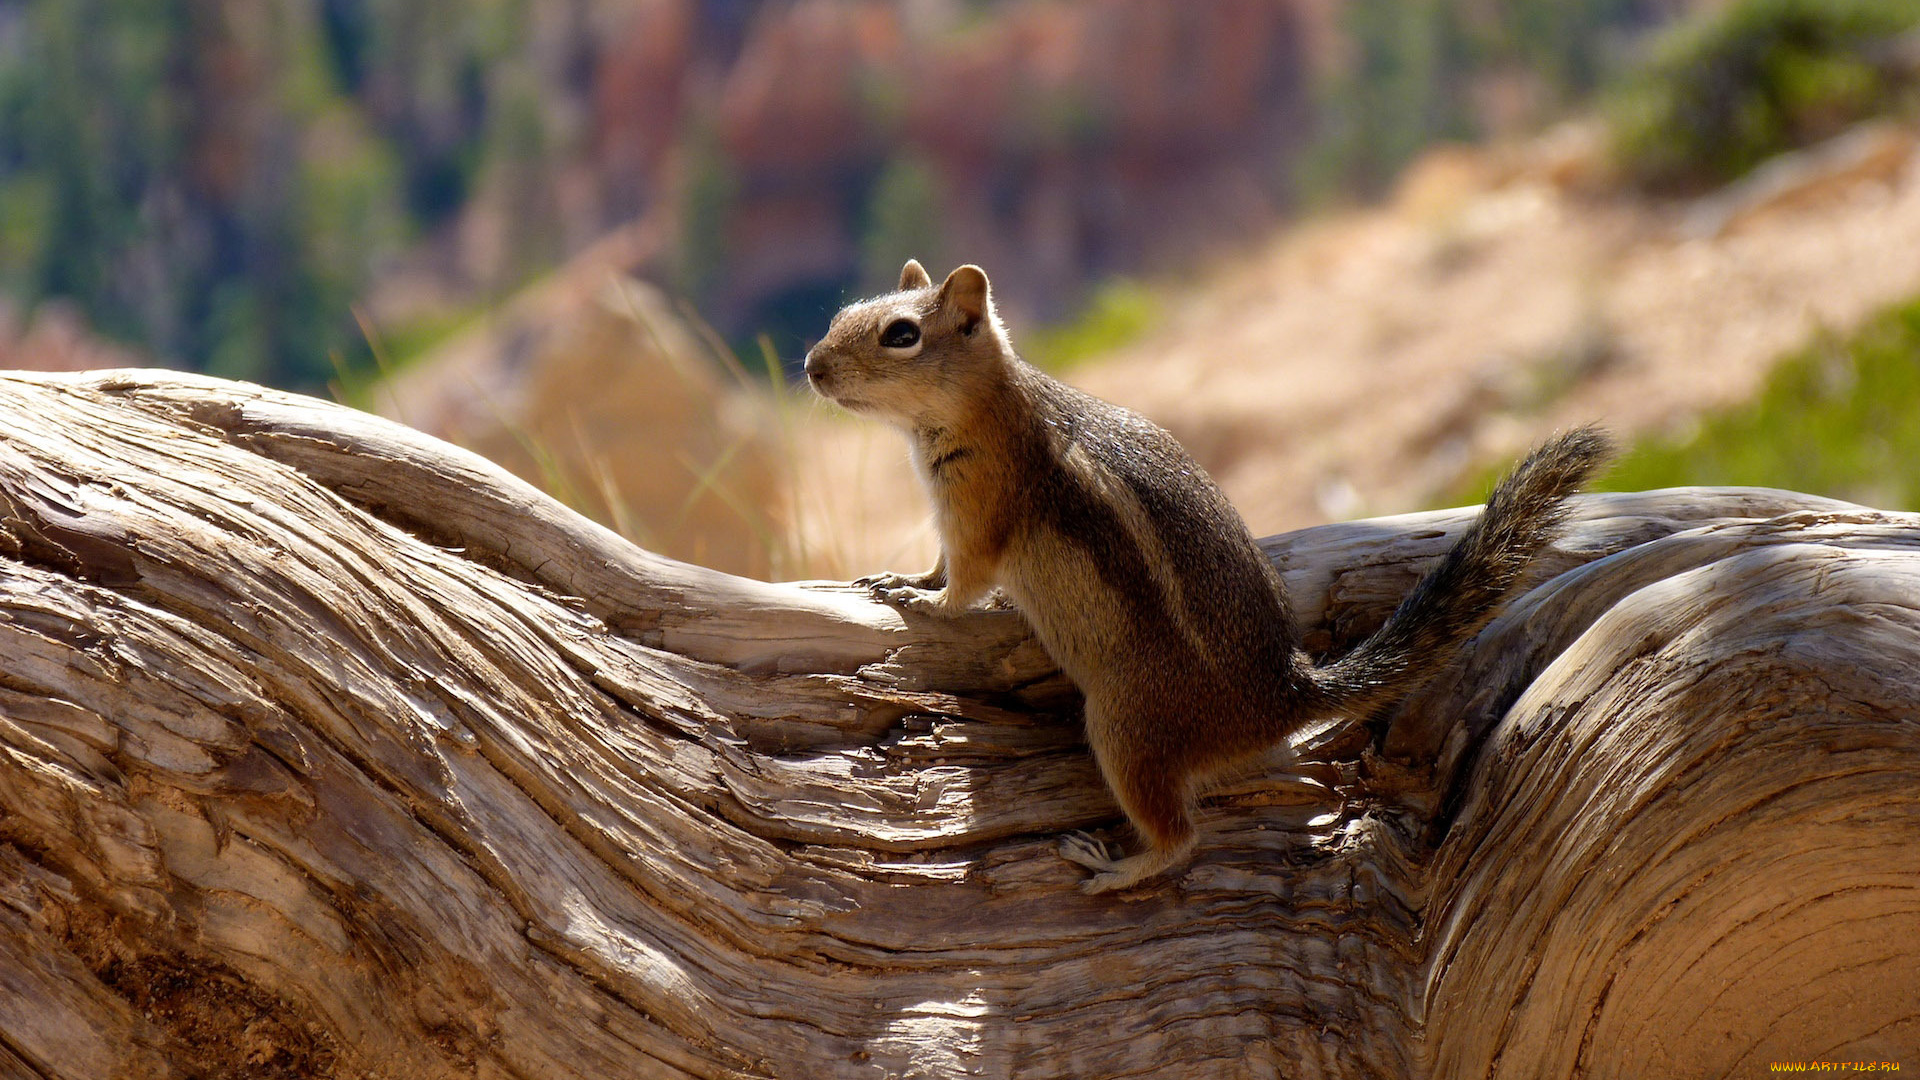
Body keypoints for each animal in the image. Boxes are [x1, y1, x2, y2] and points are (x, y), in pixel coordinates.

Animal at [802, 261, 1612, 891]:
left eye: (900, 334)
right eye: (840, 315)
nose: (811, 367)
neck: (984, 406)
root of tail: (1284, 694)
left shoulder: (984, 506)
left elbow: (964, 585)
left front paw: (916, 598)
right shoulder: (951, 518)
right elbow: (942, 561)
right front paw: (903, 576)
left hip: (1127, 724)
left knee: (1182, 837)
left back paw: (1113, 868)